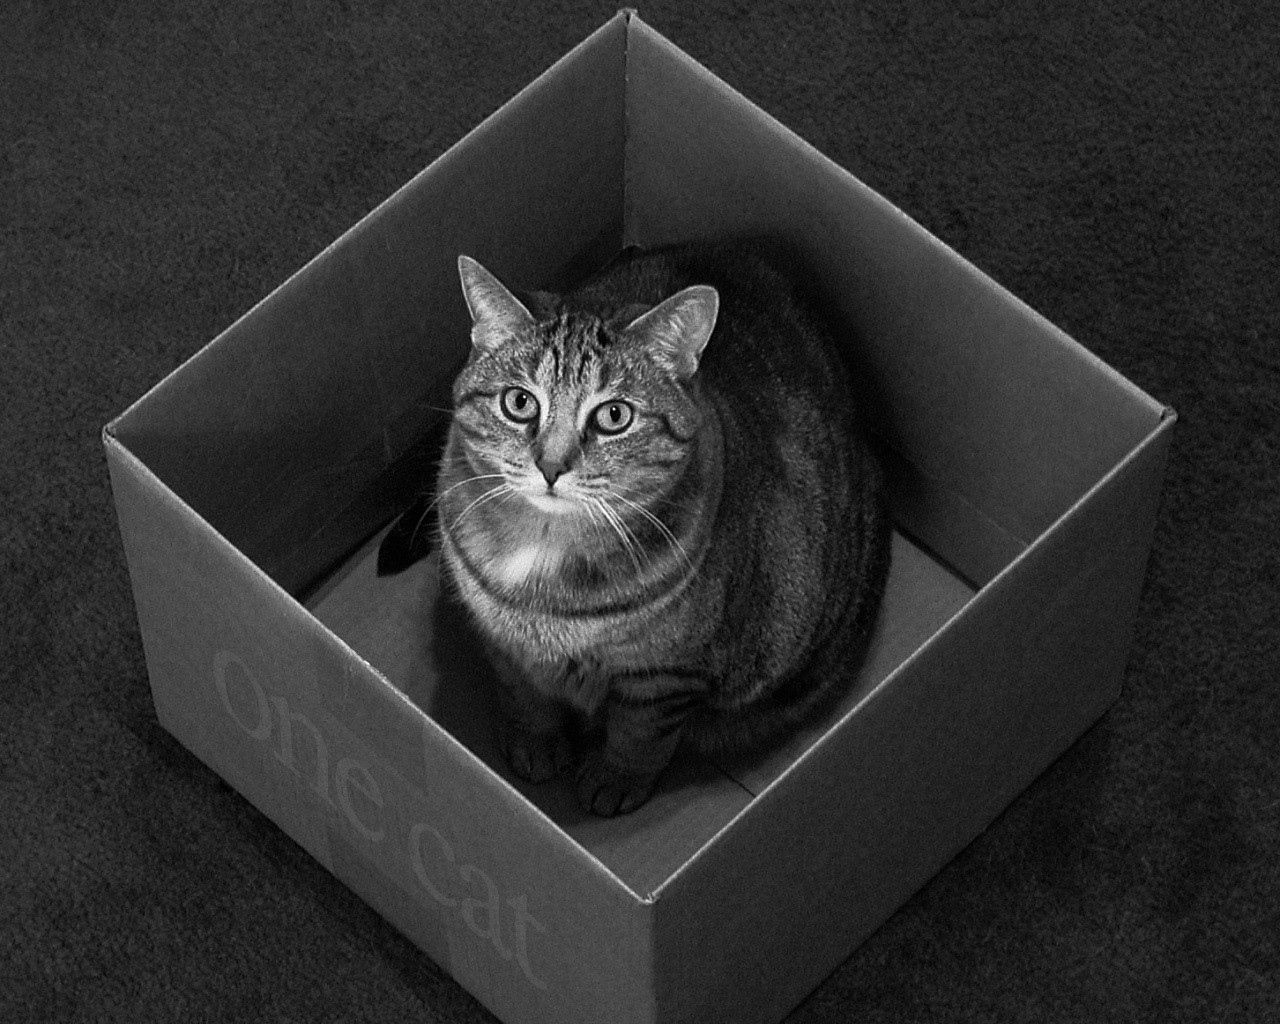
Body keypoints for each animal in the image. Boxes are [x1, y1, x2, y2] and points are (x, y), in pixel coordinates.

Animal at [424, 238, 885, 814]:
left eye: (614, 416)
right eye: (519, 402)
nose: (550, 466)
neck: (545, 555)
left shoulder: (664, 678)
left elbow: (639, 734)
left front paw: (614, 779)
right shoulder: (502, 643)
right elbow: (524, 696)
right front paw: (536, 743)